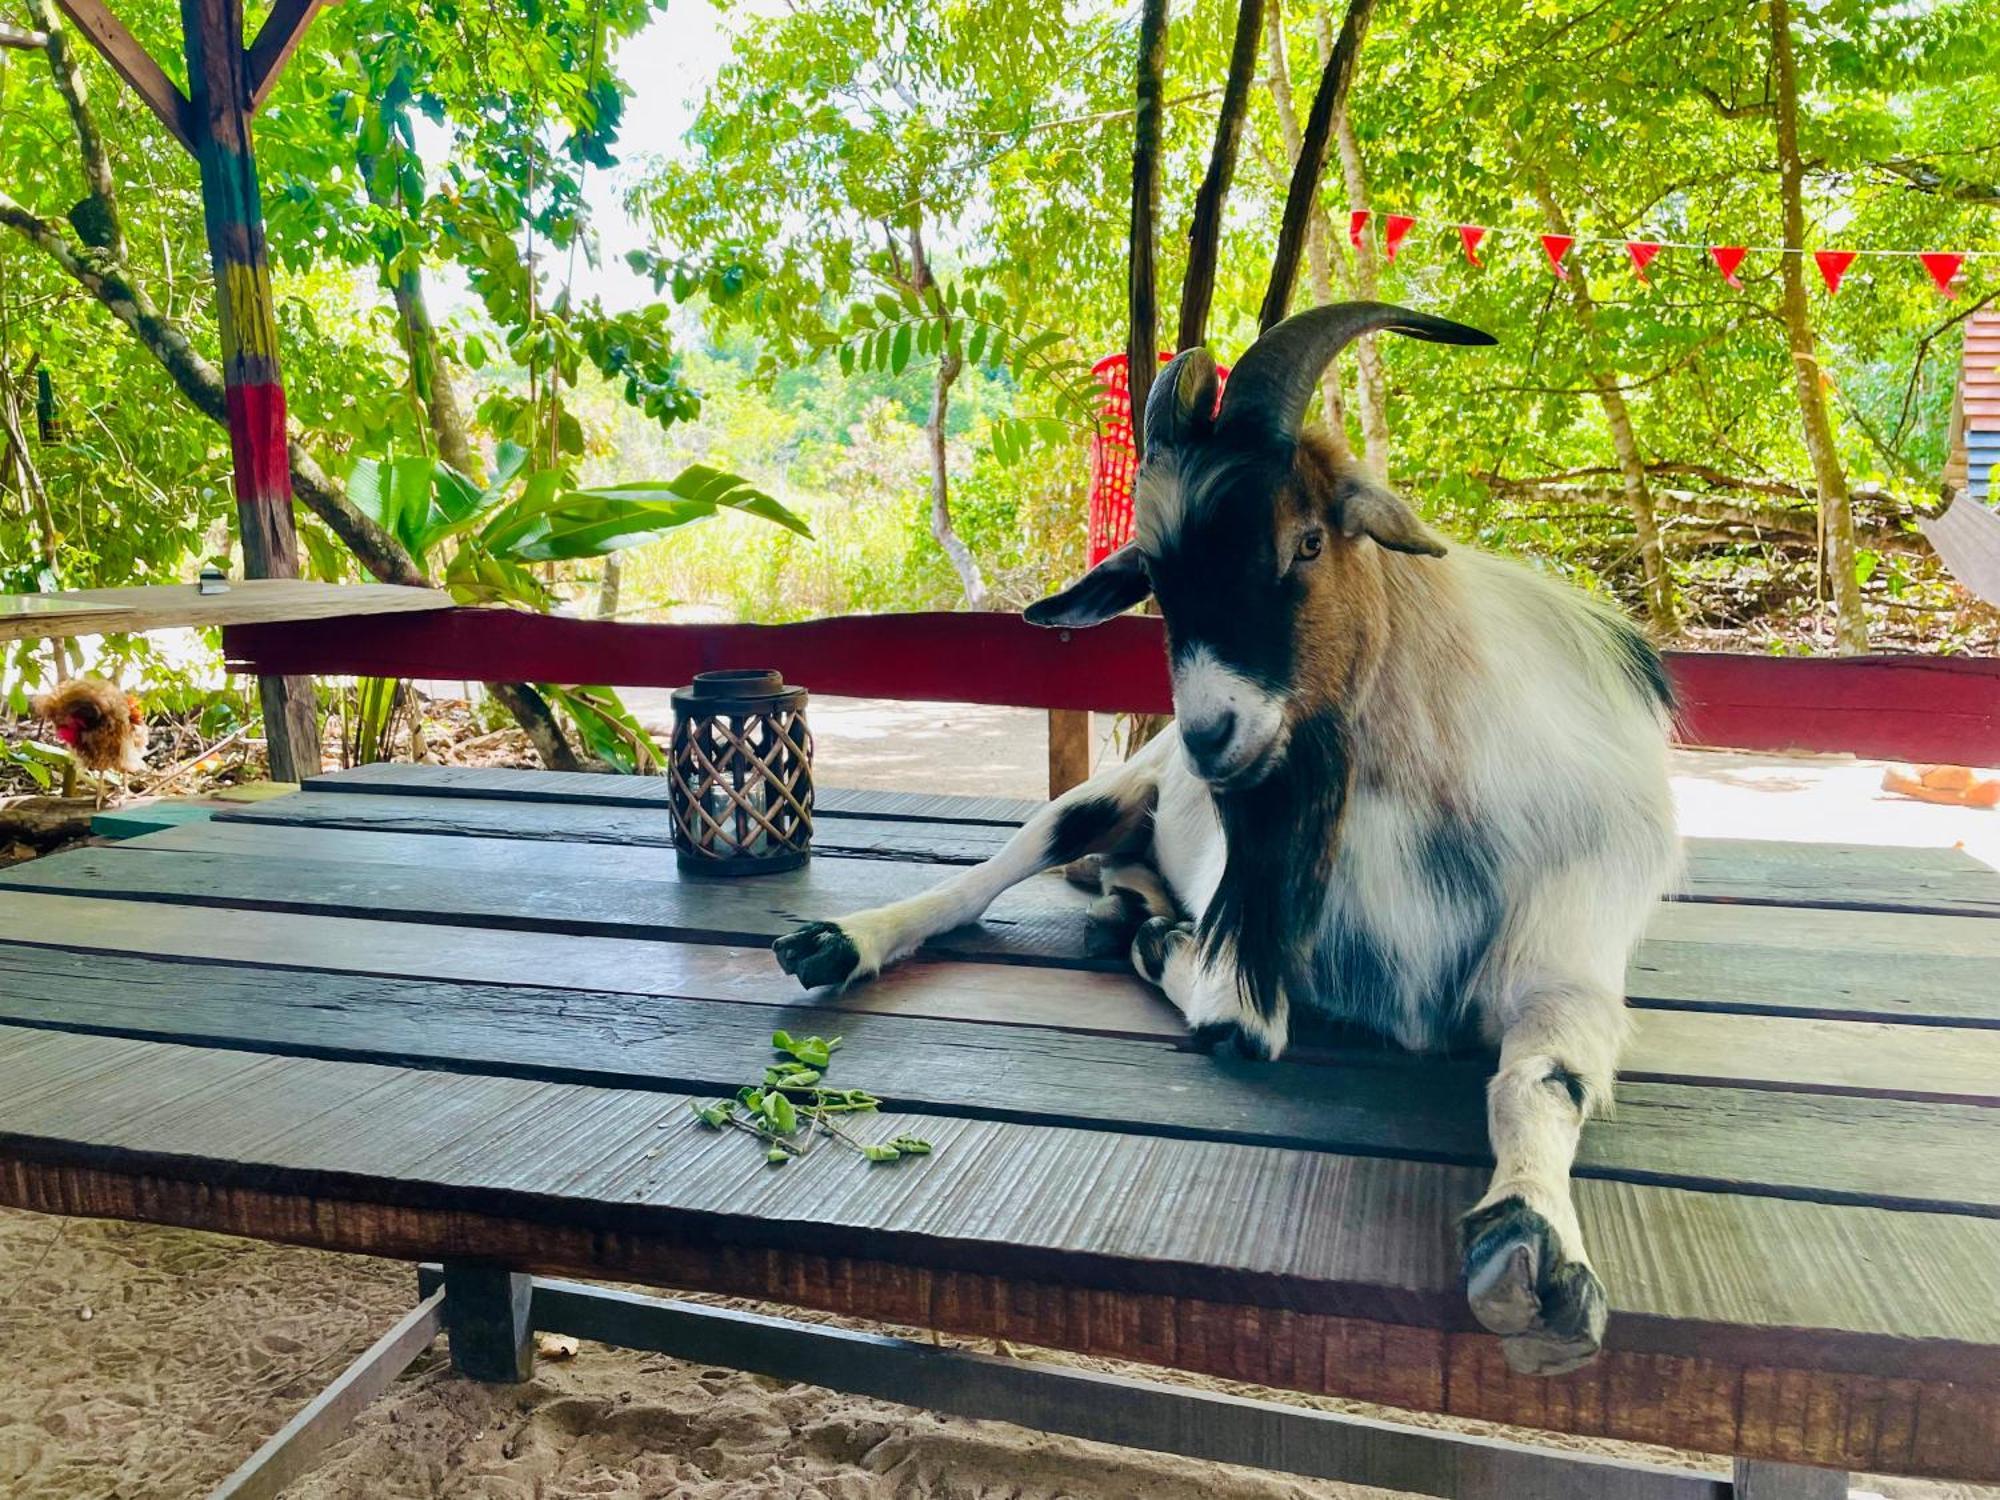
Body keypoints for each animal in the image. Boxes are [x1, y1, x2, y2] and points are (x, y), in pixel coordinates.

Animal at [772, 300, 1680, 1384]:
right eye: (1157, 580)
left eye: (1306, 540)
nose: (1210, 732)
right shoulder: (1249, 947)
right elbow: (1239, 1023)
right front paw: (1159, 945)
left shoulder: (1567, 953)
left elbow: (1542, 1075)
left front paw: (1531, 1246)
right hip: (1107, 792)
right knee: (997, 868)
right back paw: (847, 941)